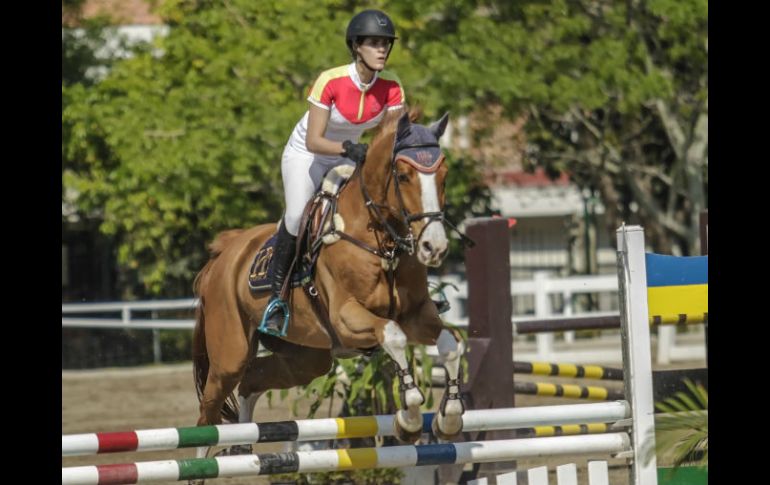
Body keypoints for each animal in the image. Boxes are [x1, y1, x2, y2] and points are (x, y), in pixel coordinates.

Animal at [192, 110, 464, 458]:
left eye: (444, 175)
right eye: (403, 176)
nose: (434, 248)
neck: (382, 243)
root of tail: (225, 252)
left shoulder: (416, 314)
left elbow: (451, 344)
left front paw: (449, 417)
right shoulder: (347, 316)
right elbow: (394, 336)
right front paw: (410, 418)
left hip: (308, 358)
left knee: (252, 380)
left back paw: (242, 445)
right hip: (230, 354)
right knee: (209, 412)